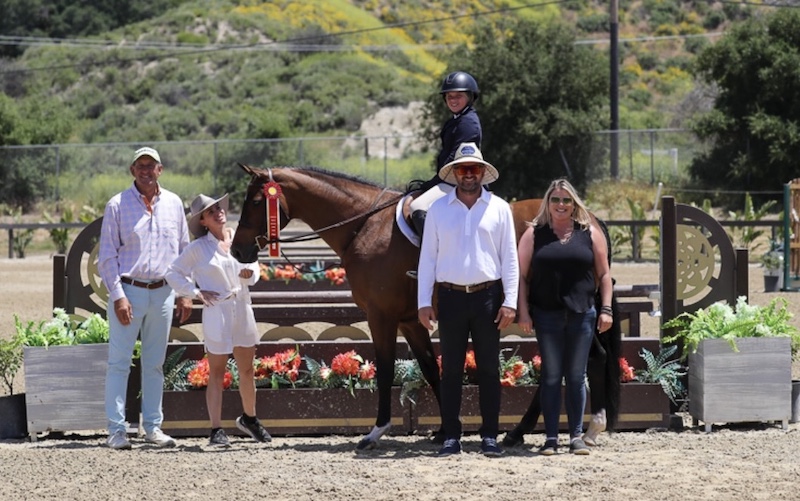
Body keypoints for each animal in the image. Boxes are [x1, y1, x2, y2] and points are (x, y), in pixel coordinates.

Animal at [230, 164, 620, 450]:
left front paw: (376, 432)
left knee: (590, 357)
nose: (237, 251)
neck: (364, 224)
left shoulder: (381, 316)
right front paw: (448, 428)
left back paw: (588, 427)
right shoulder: (410, 321)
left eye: (255, 201)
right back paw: (522, 432)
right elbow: (433, 369)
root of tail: (590, 220)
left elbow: (386, 370)